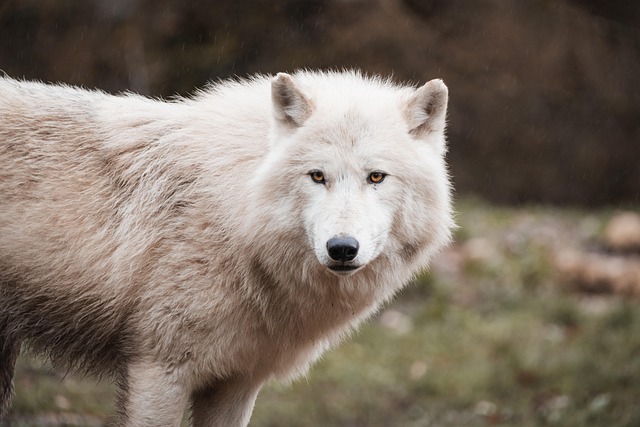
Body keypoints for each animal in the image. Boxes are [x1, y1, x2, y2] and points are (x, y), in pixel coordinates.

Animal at [0, 70, 454, 426]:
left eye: (376, 176)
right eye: (317, 176)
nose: (341, 248)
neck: (235, 216)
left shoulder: (237, 383)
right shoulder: (156, 371)